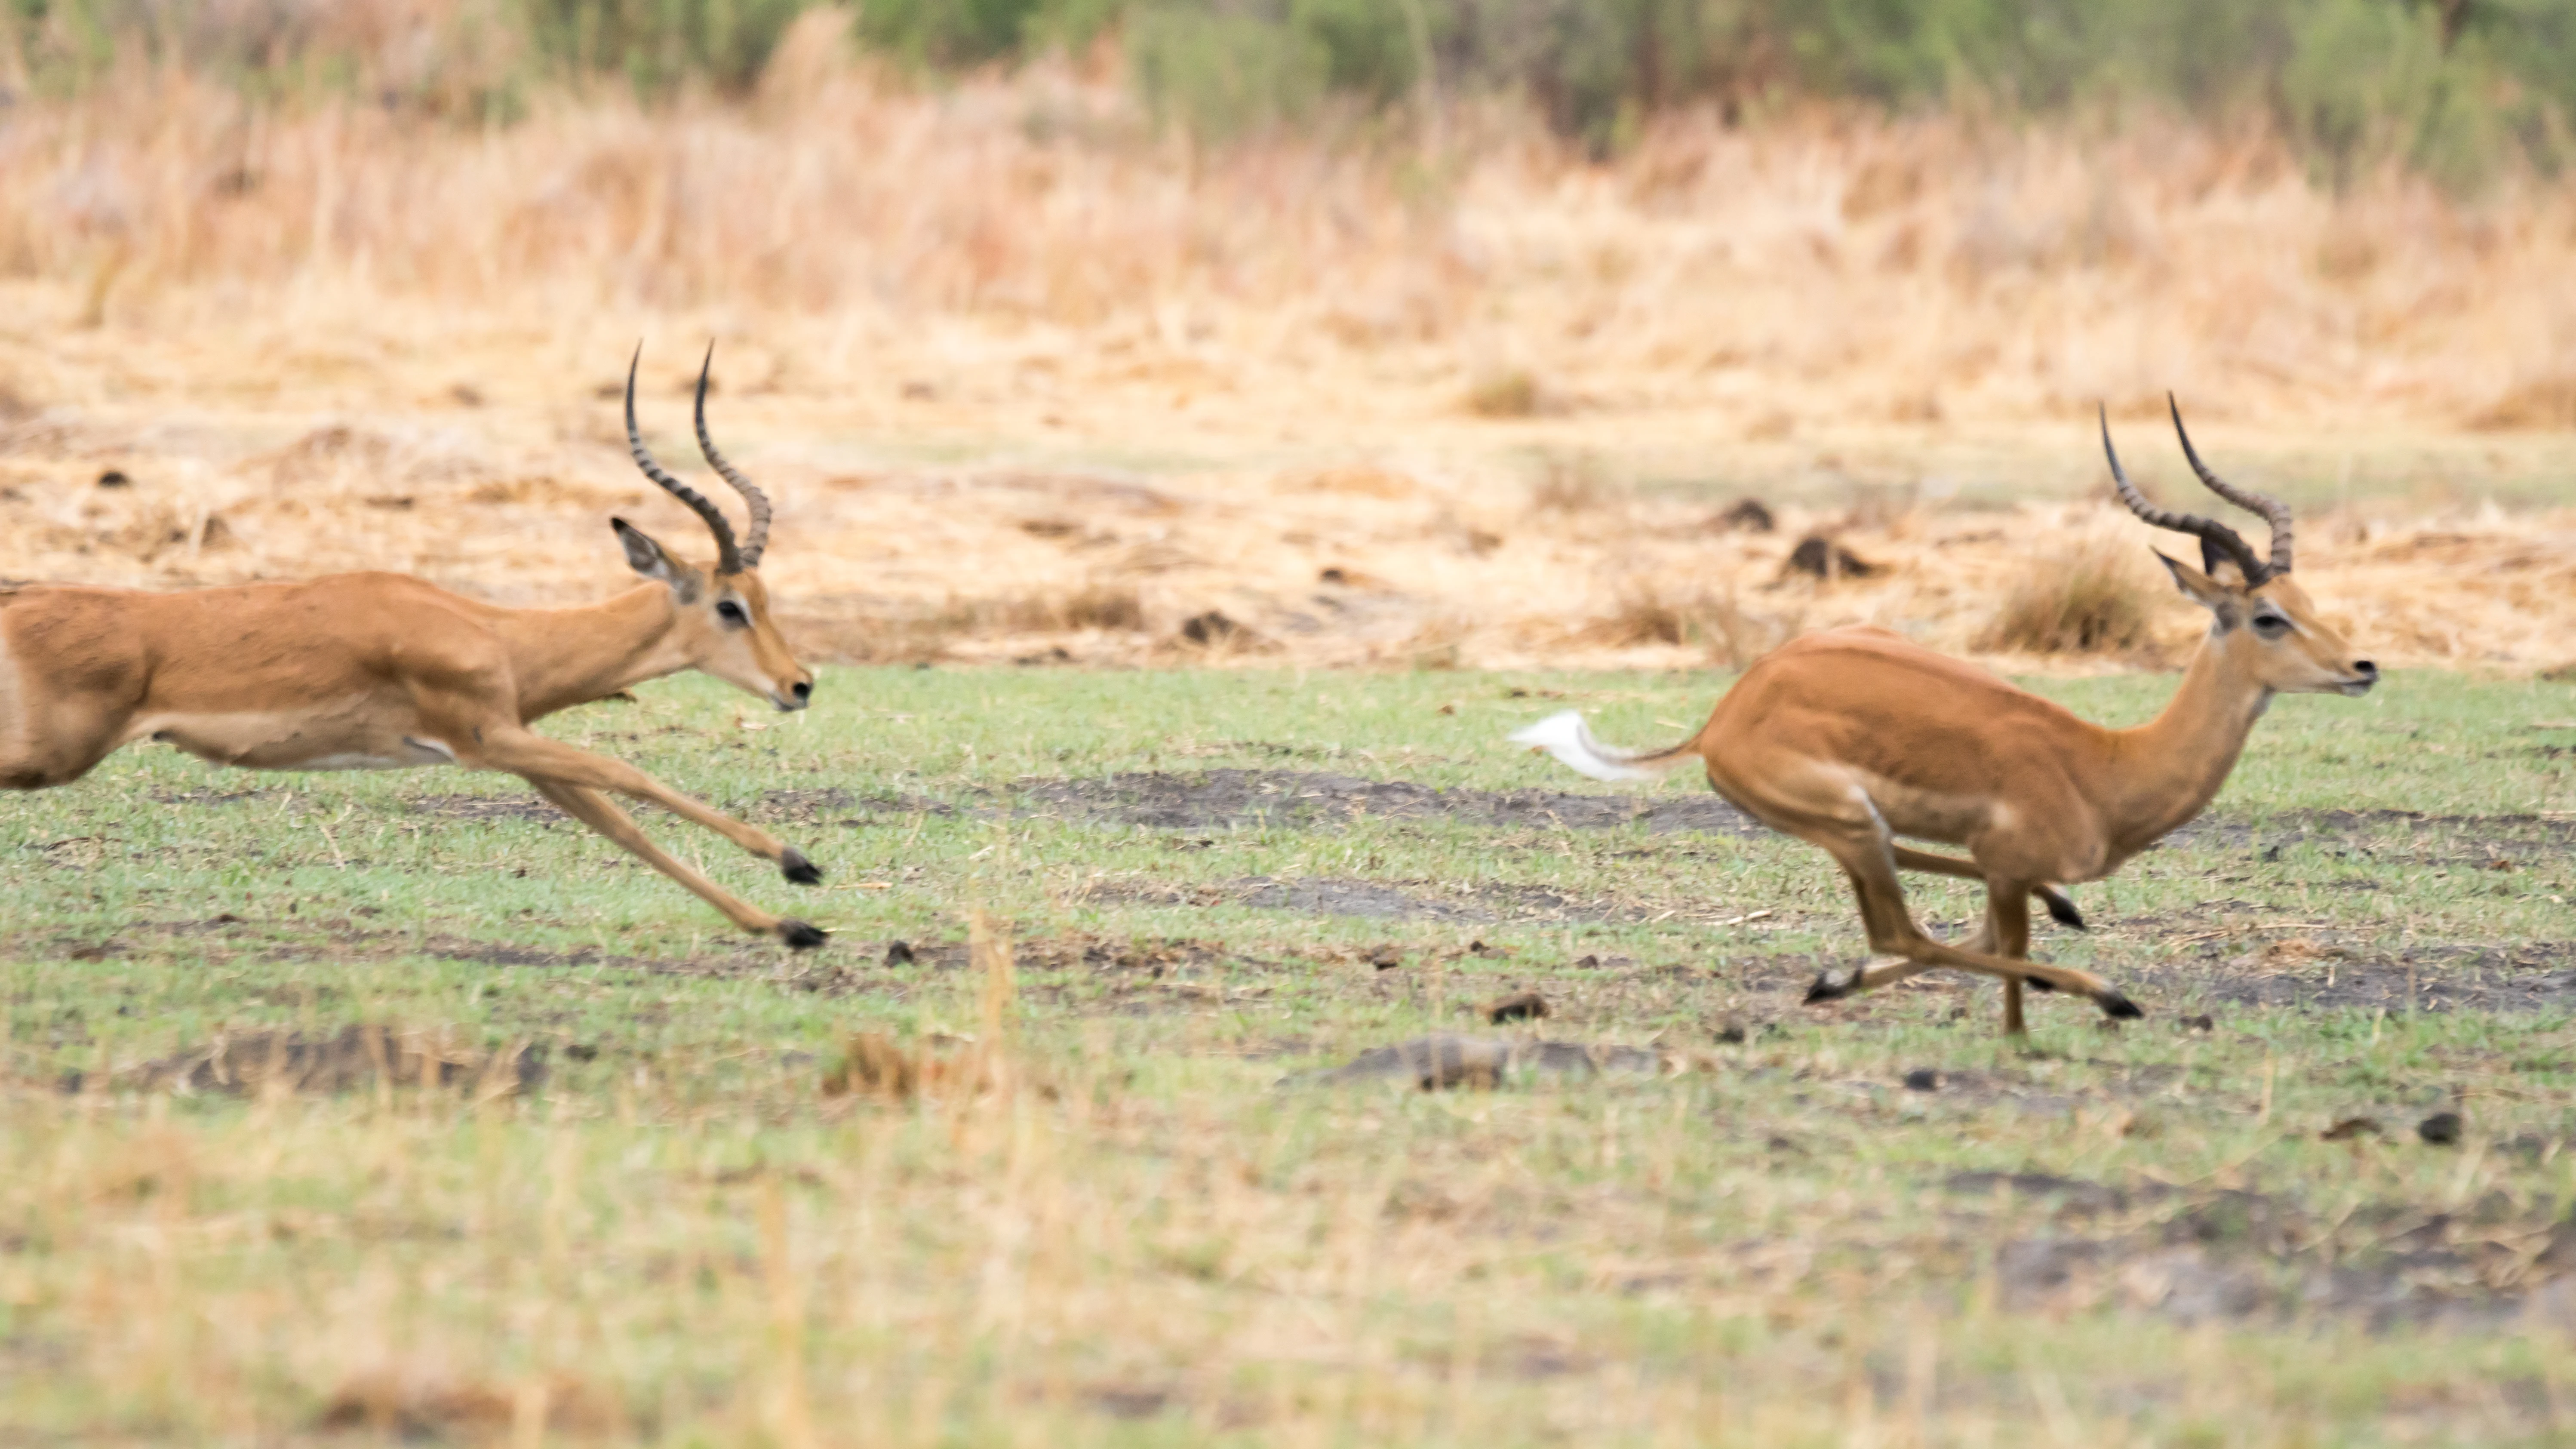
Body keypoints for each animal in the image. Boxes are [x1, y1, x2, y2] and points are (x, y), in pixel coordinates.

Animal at [0, 346, 831, 949]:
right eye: (729, 606)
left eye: (764, 598)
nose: (799, 686)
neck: (498, 634)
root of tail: (24, 601)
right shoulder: (487, 738)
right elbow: (630, 775)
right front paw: (797, 863)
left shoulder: (520, 752)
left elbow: (619, 824)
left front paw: (788, 925)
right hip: (51, 755)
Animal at [1510, 401, 2375, 1033]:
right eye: (2267, 617)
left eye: (2305, 600)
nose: (2362, 668)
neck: (2107, 768)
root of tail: (1725, 716)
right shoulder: (2006, 864)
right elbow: (2001, 953)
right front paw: (2048, 1025)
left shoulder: (2001, 869)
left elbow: (1994, 937)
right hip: (1851, 822)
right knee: (1899, 931)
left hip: (1861, 827)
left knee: (1916, 902)